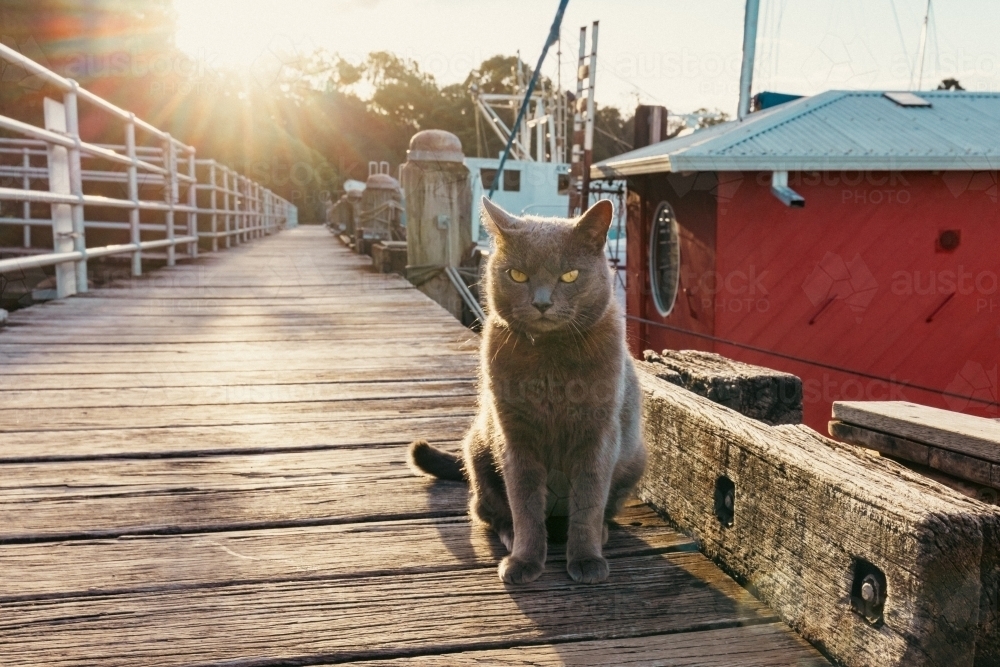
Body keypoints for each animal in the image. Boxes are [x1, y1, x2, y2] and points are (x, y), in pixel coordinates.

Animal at [410, 198, 644, 584]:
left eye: (570, 275)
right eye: (517, 275)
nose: (542, 302)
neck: (550, 363)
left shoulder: (599, 434)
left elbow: (589, 501)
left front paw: (586, 559)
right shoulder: (515, 435)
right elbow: (525, 505)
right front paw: (524, 560)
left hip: (635, 458)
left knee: (601, 510)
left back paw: (597, 533)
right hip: (478, 450)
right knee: (485, 509)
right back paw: (510, 535)